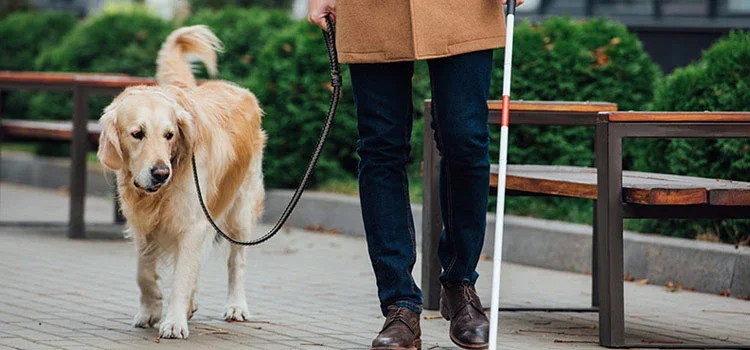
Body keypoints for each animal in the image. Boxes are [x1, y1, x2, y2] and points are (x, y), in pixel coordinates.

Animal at [97, 25, 268, 340]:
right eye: (137, 133)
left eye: (170, 135)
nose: (161, 173)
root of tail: (241, 89)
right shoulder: (142, 225)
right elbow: (143, 272)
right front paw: (150, 310)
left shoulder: (192, 222)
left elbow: (181, 277)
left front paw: (174, 321)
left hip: (240, 208)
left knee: (236, 260)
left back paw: (236, 306)